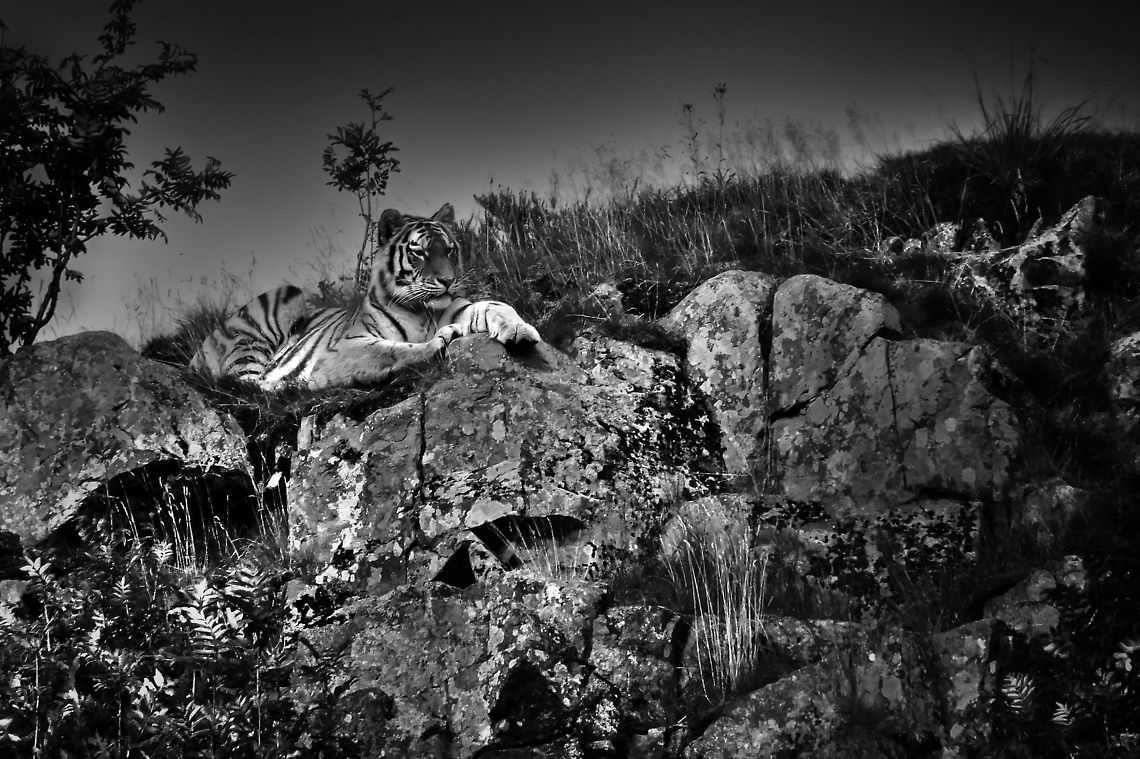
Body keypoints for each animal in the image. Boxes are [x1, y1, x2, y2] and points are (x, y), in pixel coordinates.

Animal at [189, 203, 540, 390]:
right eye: (420, 252)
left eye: (450, 250)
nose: (448, 280)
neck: (423, 311)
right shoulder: (343, 347)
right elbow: (391, 351)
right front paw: (441, 340)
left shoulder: (458, 308)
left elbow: (496, 305)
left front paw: (520, 330)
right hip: (271, 310)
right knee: (248, 383)